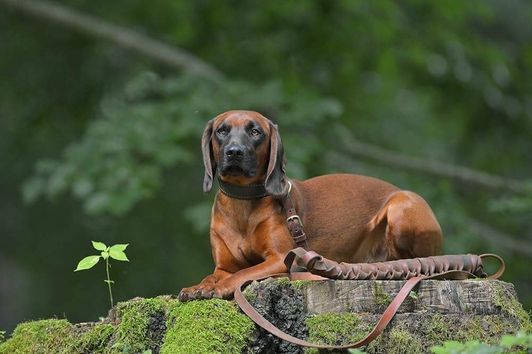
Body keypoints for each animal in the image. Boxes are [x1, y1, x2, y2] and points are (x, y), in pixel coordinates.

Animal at [179, 110, 440, 302]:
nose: (234, 152)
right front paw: (197, 287)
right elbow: (212, 276)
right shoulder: (224, 267)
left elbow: (242, 274)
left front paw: (217, 288)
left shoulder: (279, 259)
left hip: (401, 206)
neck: (242, 202)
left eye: (255, 131)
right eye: (221, 131)